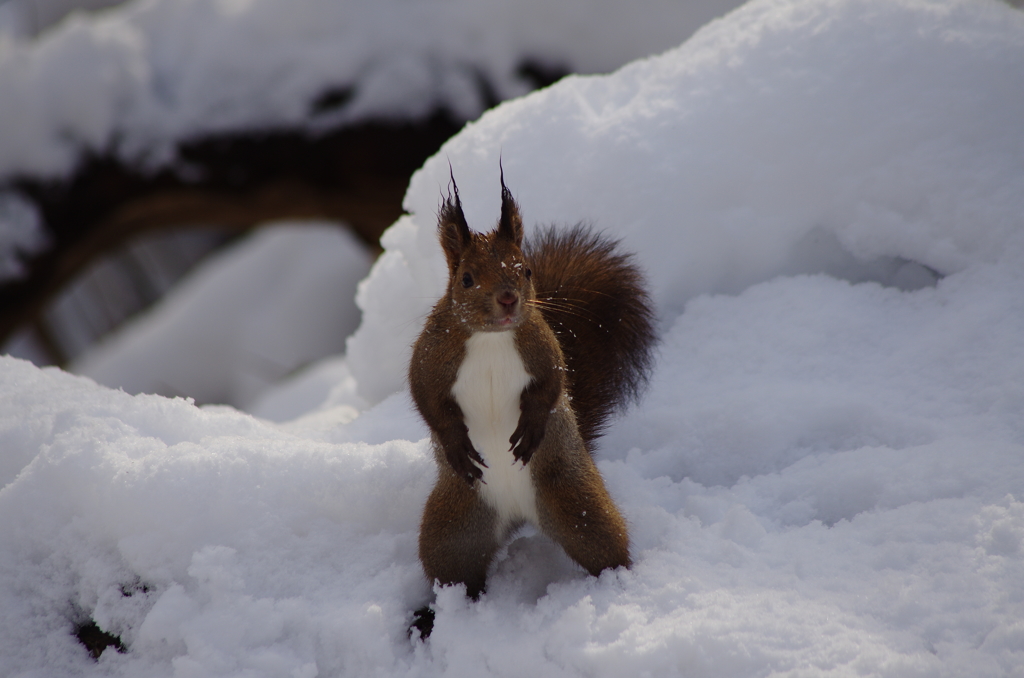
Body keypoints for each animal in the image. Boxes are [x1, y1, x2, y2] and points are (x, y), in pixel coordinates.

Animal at [407, 166, 655, 602]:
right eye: (466, 279)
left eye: (525, 270)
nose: (508, 299)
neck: (491, 337)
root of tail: (516, 515)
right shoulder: (430, 356)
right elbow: (427, 399)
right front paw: (456, 443)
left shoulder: (542, 346)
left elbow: (553, 384)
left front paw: (530, 428)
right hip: (453, 529)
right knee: (455, 574)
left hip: (577, 502)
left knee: (604, 544)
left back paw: (617, 585)